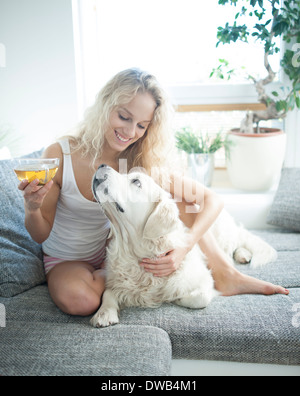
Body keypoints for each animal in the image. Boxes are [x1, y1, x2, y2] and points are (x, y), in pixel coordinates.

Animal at [90, 164, 278, 328]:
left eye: (136, 181)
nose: (101, 165)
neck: (136, 252)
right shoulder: (116, 280)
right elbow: (108, 292)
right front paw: (104, 313)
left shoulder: (204, 280)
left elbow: (200, 298)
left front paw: (177, 298)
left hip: (223, 232)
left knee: (235, 244)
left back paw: (242, 254)